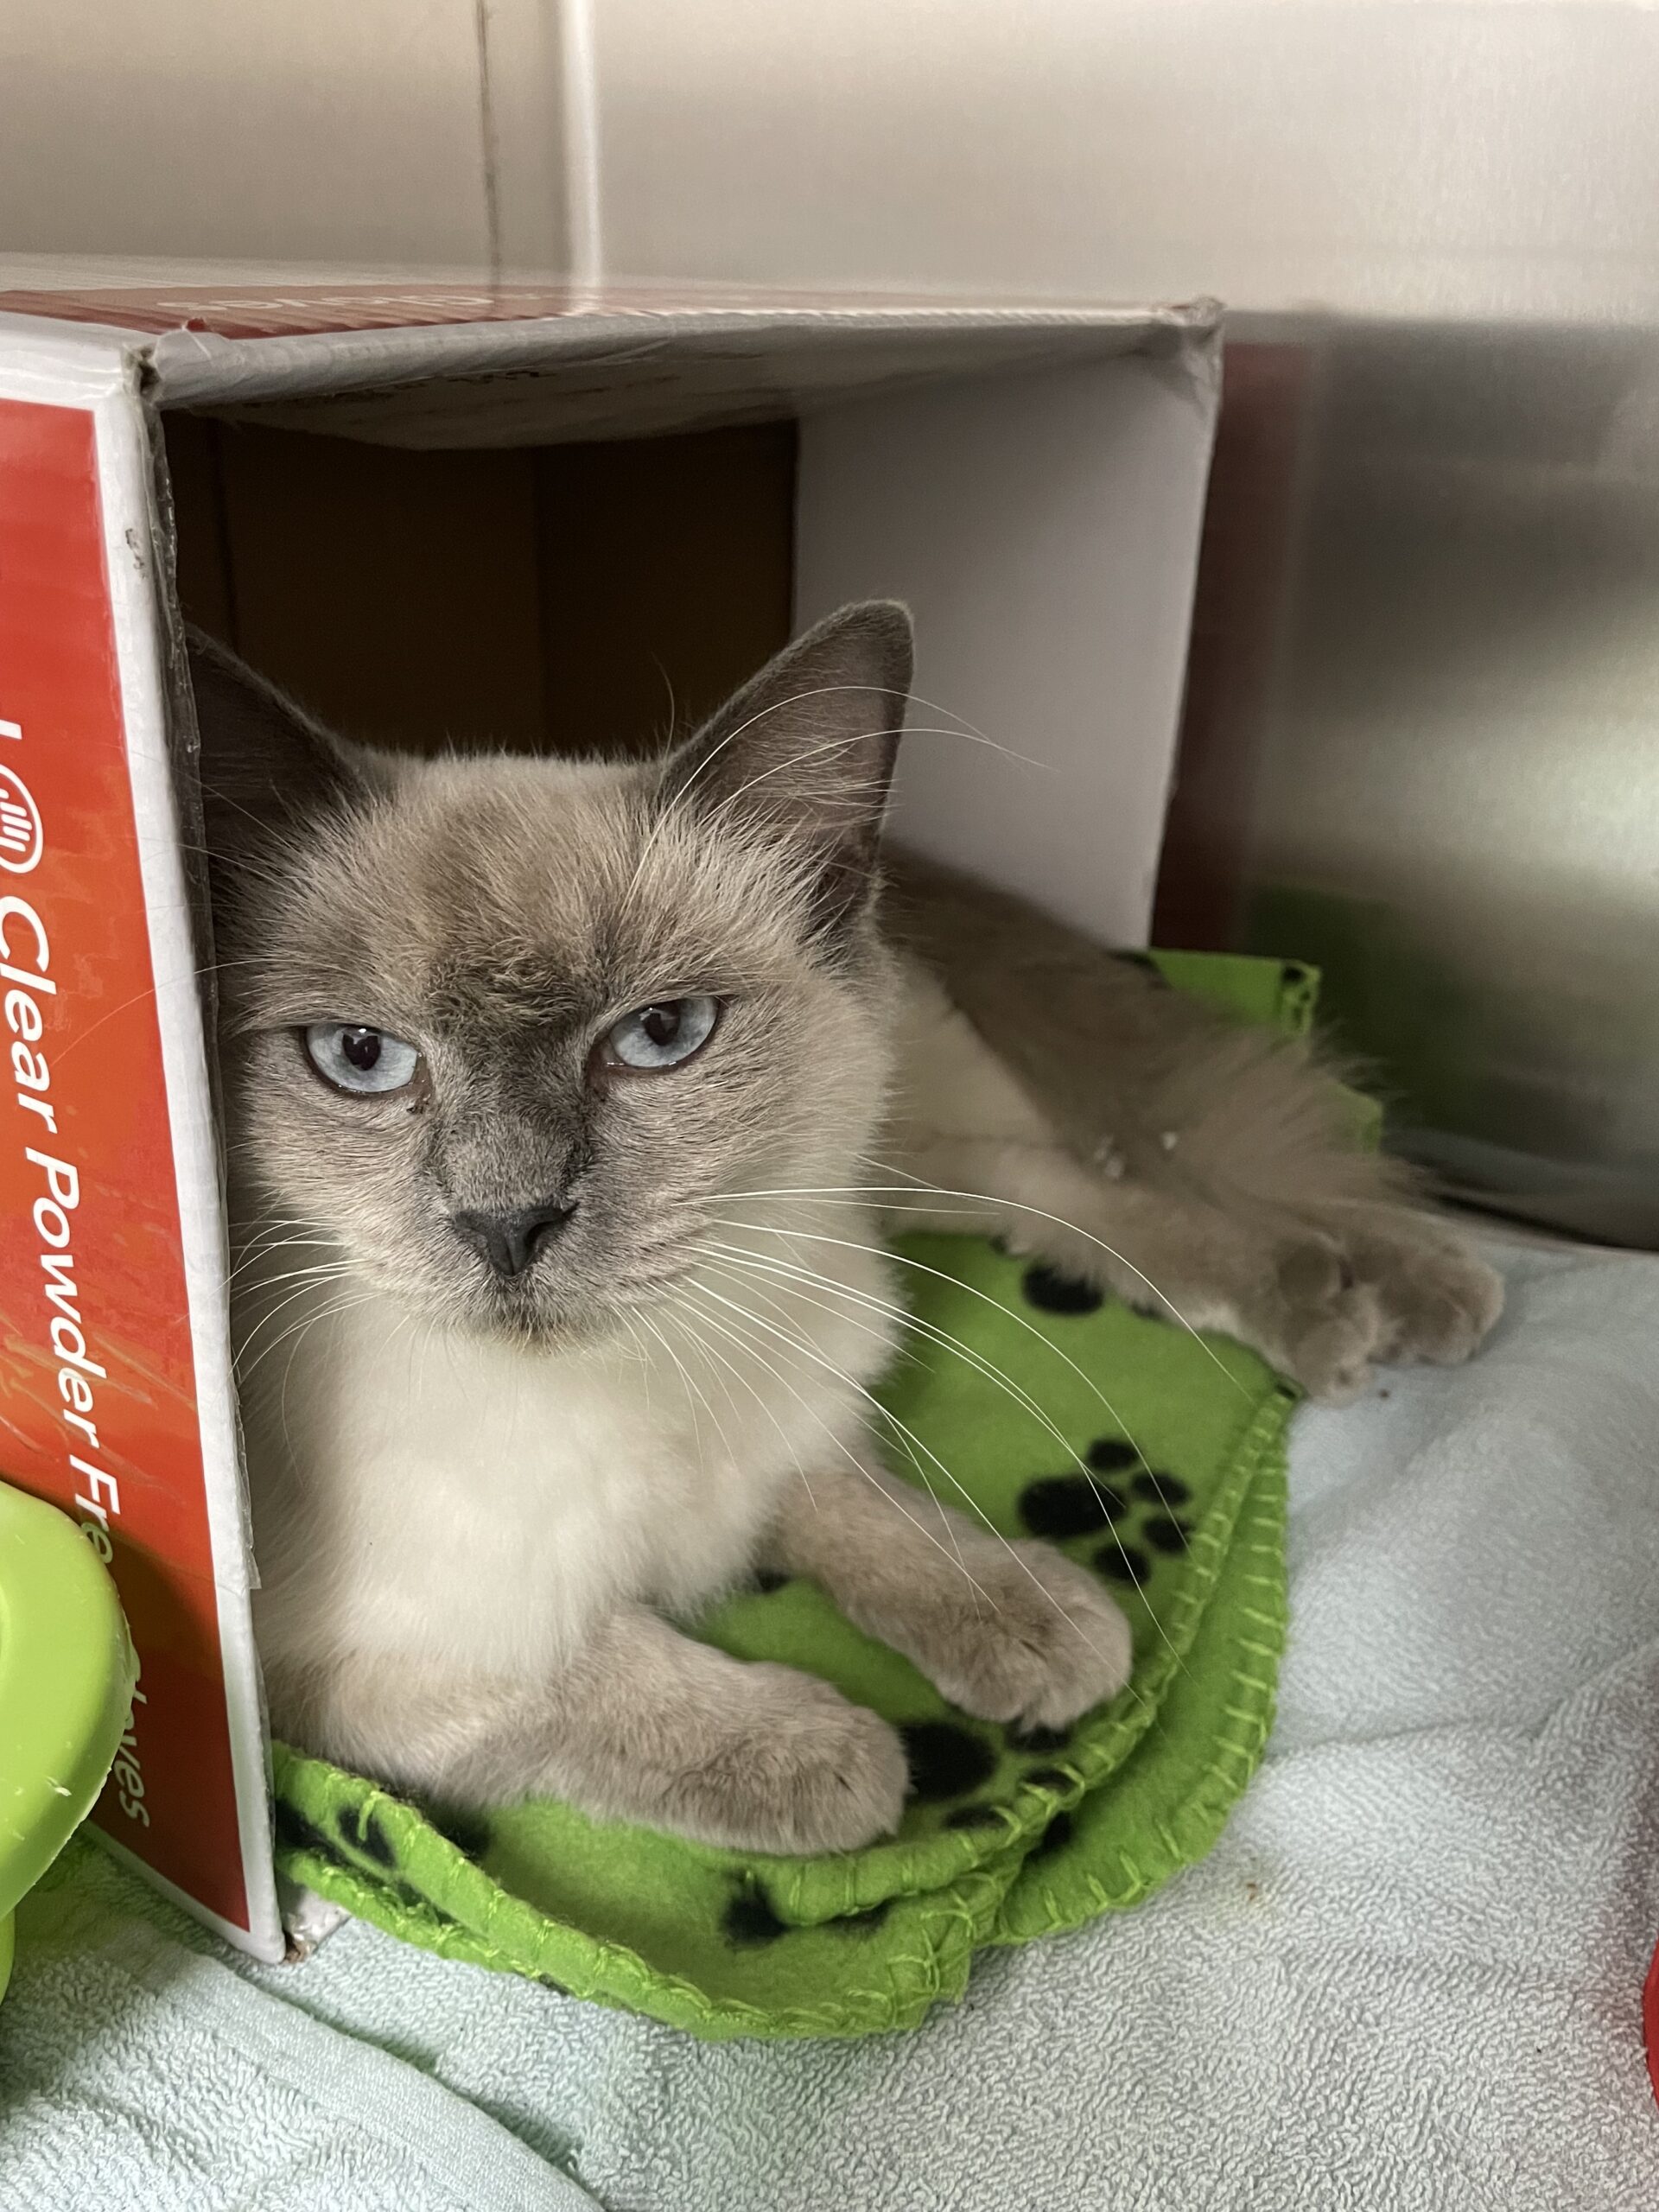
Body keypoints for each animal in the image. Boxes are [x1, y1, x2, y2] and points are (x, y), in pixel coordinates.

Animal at [192, 602, 1502, 1856]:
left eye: (659, 1035)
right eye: (362, 1056)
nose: (506, 1224)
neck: (631, 1379)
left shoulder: (787, 1405)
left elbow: (871, 1512)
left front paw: (1033, 1621)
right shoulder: (336, 1664)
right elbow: (593, 1673)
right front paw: (843, 1759)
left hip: (891, 1145)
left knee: (1092, 1175)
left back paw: (1385, 1298)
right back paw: (1361, 1304)